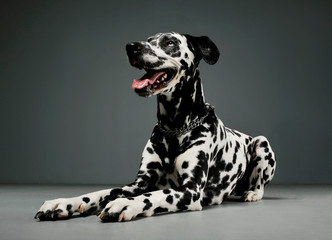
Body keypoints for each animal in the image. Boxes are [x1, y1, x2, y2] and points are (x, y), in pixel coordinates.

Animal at [35, 32, 276, 223]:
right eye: (148, 40)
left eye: (169, 42)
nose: (131, 46)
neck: (174, 128)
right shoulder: (139, 183)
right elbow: (101, 193)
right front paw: (64, 203)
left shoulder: (190, 190)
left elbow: (154, 195)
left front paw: (125, 204)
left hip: (262, 143)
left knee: (260, 183)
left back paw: (252, 193)